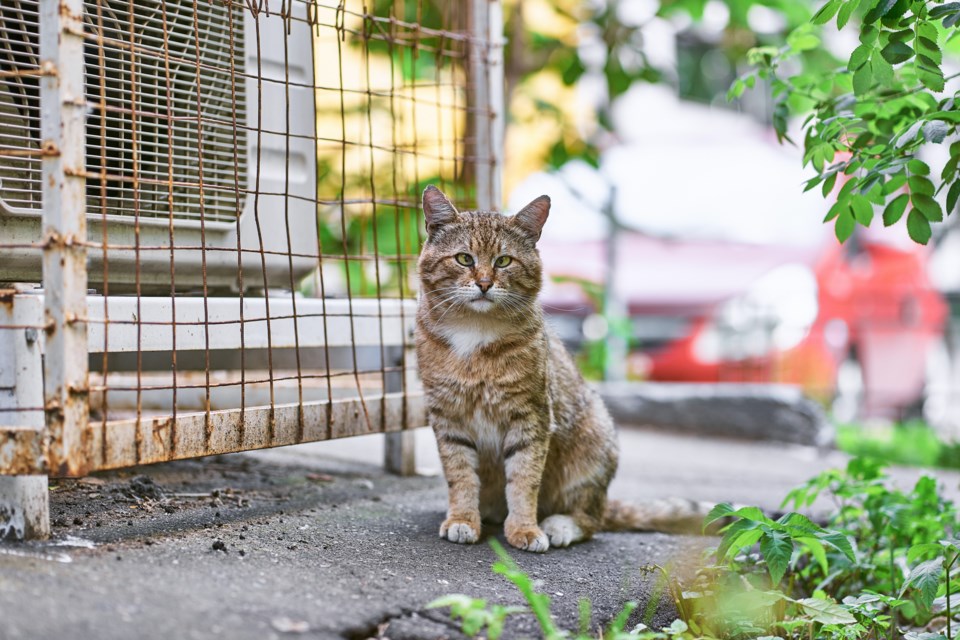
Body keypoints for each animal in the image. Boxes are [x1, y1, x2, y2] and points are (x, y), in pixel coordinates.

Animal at [414, 184, 704, 552]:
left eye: (504, 260)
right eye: (464, 258)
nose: (484, 283)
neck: (474, 332)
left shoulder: (532, 416)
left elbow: (524, 479)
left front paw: (524, 528)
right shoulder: (448, 416)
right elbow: (461, 476)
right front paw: (463, 519)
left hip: (595, 442)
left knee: (591, 519)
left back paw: (559, 524)